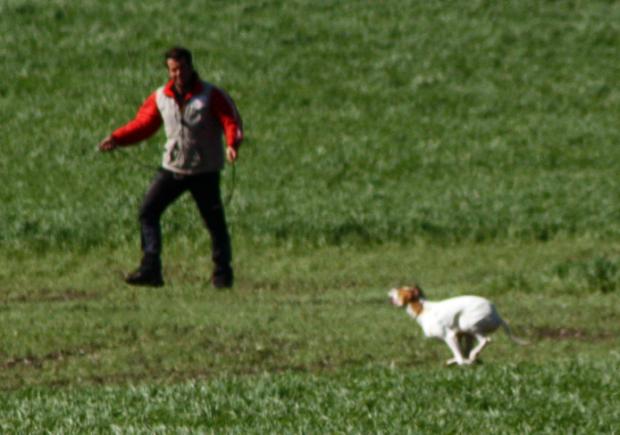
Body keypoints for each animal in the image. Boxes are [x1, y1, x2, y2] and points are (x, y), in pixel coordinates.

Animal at [388, 284, 528, 366]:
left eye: (400, 290)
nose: (391, 289)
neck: (422, 309)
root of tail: (497, 315)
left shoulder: (450, 336)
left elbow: (460, 356)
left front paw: (464, 362)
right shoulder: (458, 335)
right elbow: (461, 353)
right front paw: (461, 361)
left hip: (469, 325)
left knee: (486, 340)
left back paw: (472, 356)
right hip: (468, 333)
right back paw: (470, 358)